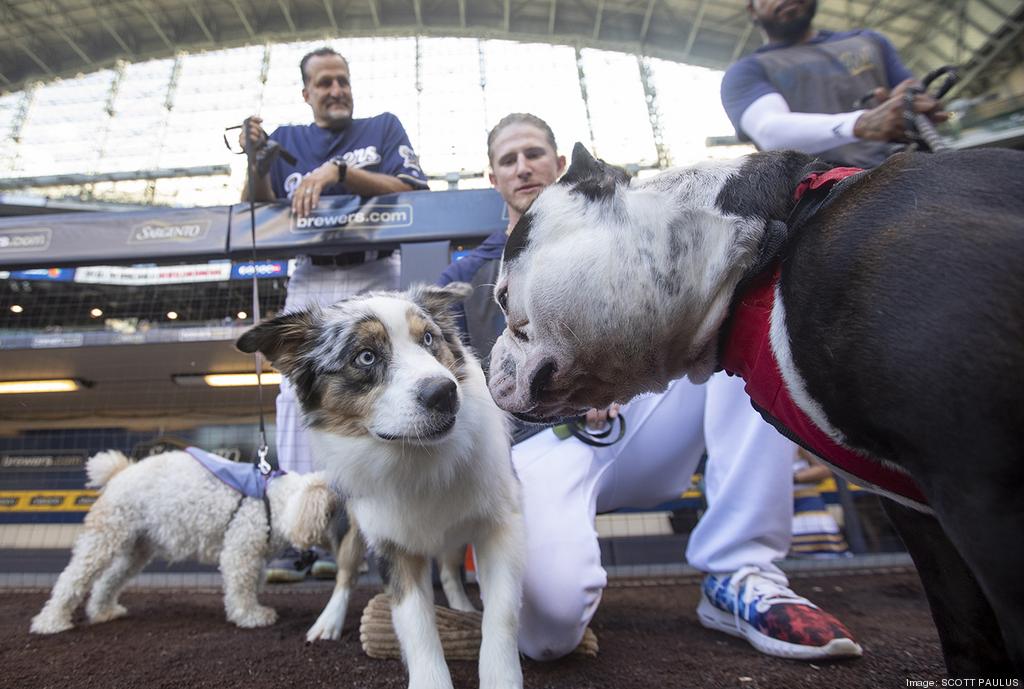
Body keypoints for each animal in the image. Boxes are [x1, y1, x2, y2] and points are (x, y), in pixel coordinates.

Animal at [29, 446, 333, 634]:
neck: (275, 498)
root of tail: (119, 473)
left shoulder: (254, 556)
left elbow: (252, 583)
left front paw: (250, 610)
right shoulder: (241, 549)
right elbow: (241, 586)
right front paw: (251, 616)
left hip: (137, 548)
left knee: (109, 580)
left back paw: (103, 611)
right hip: (104, 537)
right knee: (72, 578)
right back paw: (51, 622)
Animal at [236, 282, 524, 687]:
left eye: (429, 338)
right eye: (366, 357)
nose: (444, 393)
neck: (418, 458)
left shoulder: (500, 524)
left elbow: (502, 614)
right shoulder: (392, 543)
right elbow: (416, 624)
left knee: (449, 571)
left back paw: (461, 606)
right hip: (354, 526)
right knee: (344, 574)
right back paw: (329, 621)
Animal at [485, 146, 1024, 675]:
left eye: (505, 298)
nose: (489, 362)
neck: (767, 245)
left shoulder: (982, 496)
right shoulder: (924, 522)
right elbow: (963, 626)